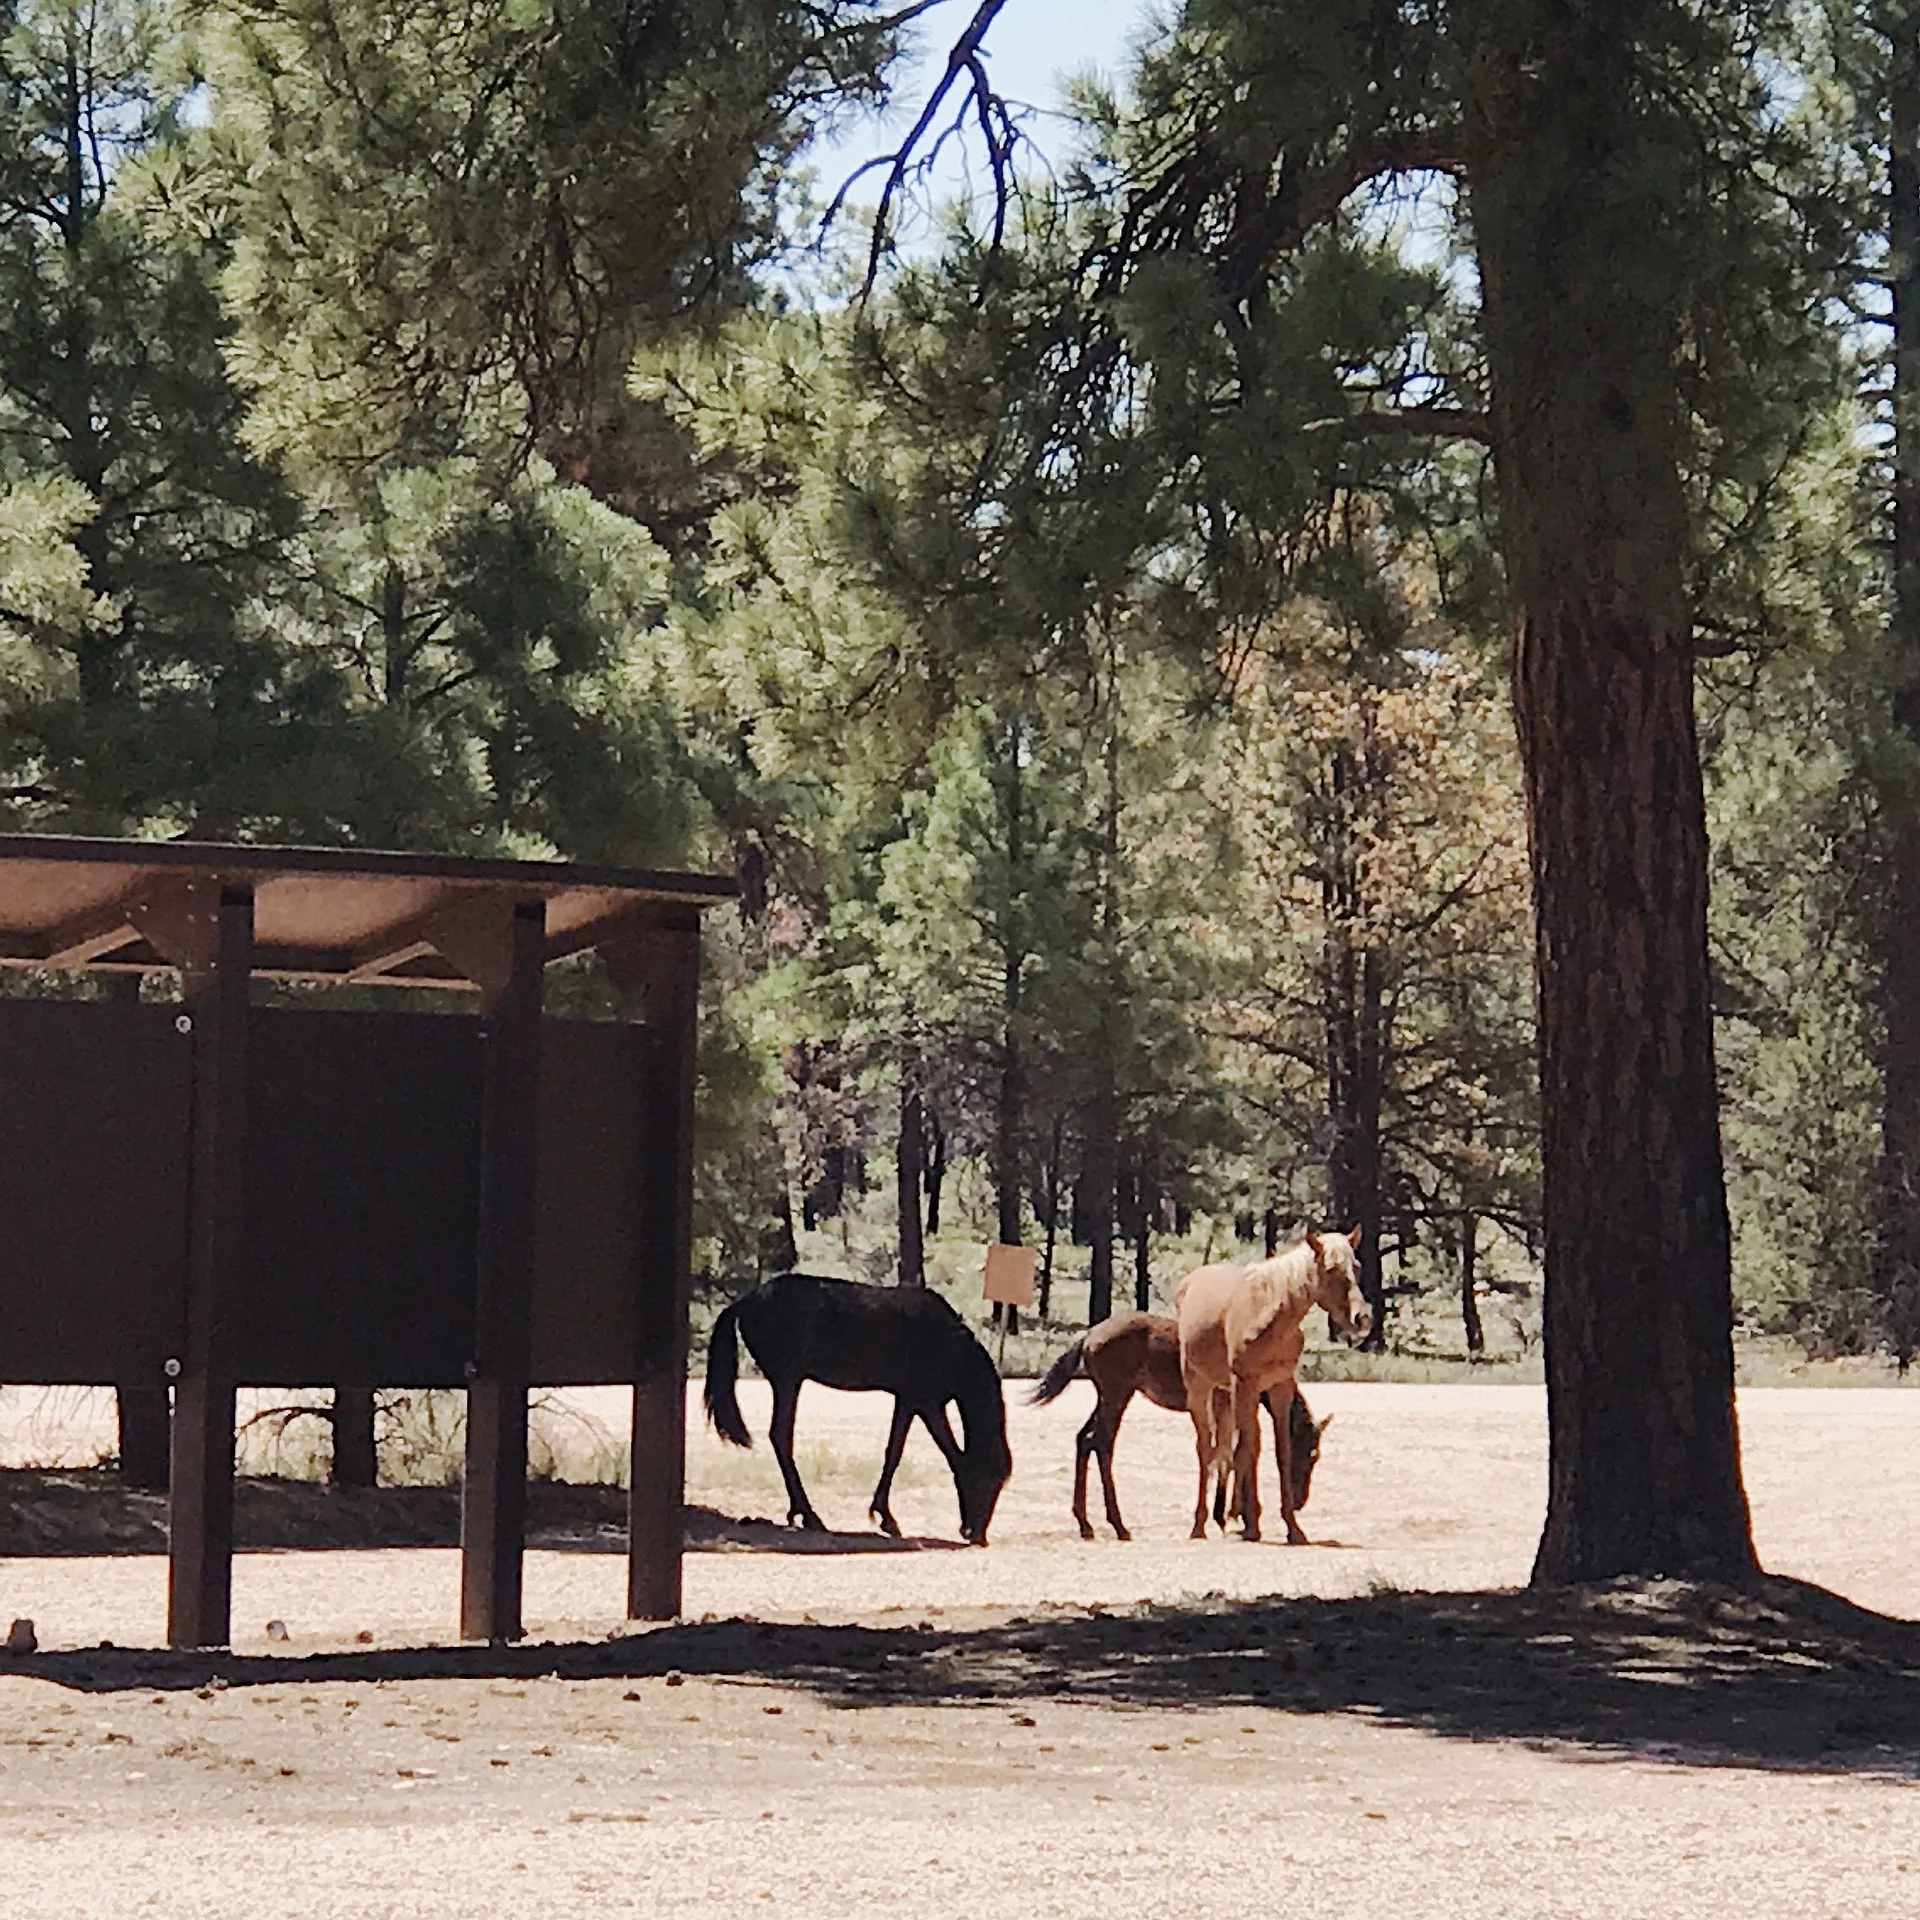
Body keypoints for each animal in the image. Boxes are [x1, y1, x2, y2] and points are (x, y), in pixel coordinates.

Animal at [703, 1272, 1012, 1546]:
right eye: (987, 1479)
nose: (976, 1534)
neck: (949, 1345)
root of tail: (747, 1301)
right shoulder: (926, 1402)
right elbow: (935, 1453)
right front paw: (887, 1518)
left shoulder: (909, 1400)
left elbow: (895, 1450)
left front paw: (884, 1515)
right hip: (787, 1380)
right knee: (781, 1436)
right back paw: (809, 1515)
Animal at [1029, 1312, 1331, 1541]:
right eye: (1311, 1455)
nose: (1300, 1500)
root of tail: (1088, 1336)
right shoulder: (1226, 1407)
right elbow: (1233, 1454)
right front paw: (1233, 1516)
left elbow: (1228, 1455)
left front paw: (1230, 1516)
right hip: (1117, 1395)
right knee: (1100, 1443)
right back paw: (1118, 1525)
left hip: (1108, 1397)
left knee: (1084, 1438)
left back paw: (1085, 1524)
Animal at [1176, 1228, 1368, 1545]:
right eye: (1330, 1269)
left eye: (1357, 1266)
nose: (1362, 1318)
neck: (1272, 1316)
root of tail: (1189, 1282)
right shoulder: (1246, 1386)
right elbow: (1249, 1449)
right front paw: (1250, 1523)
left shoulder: (1278, 1388)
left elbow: (1277, 1452)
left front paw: (1292, 1527)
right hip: (1199, 1388)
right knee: (1206, 1448)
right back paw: (1199, 1525)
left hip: (1222, 1393)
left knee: (1222, 1448)